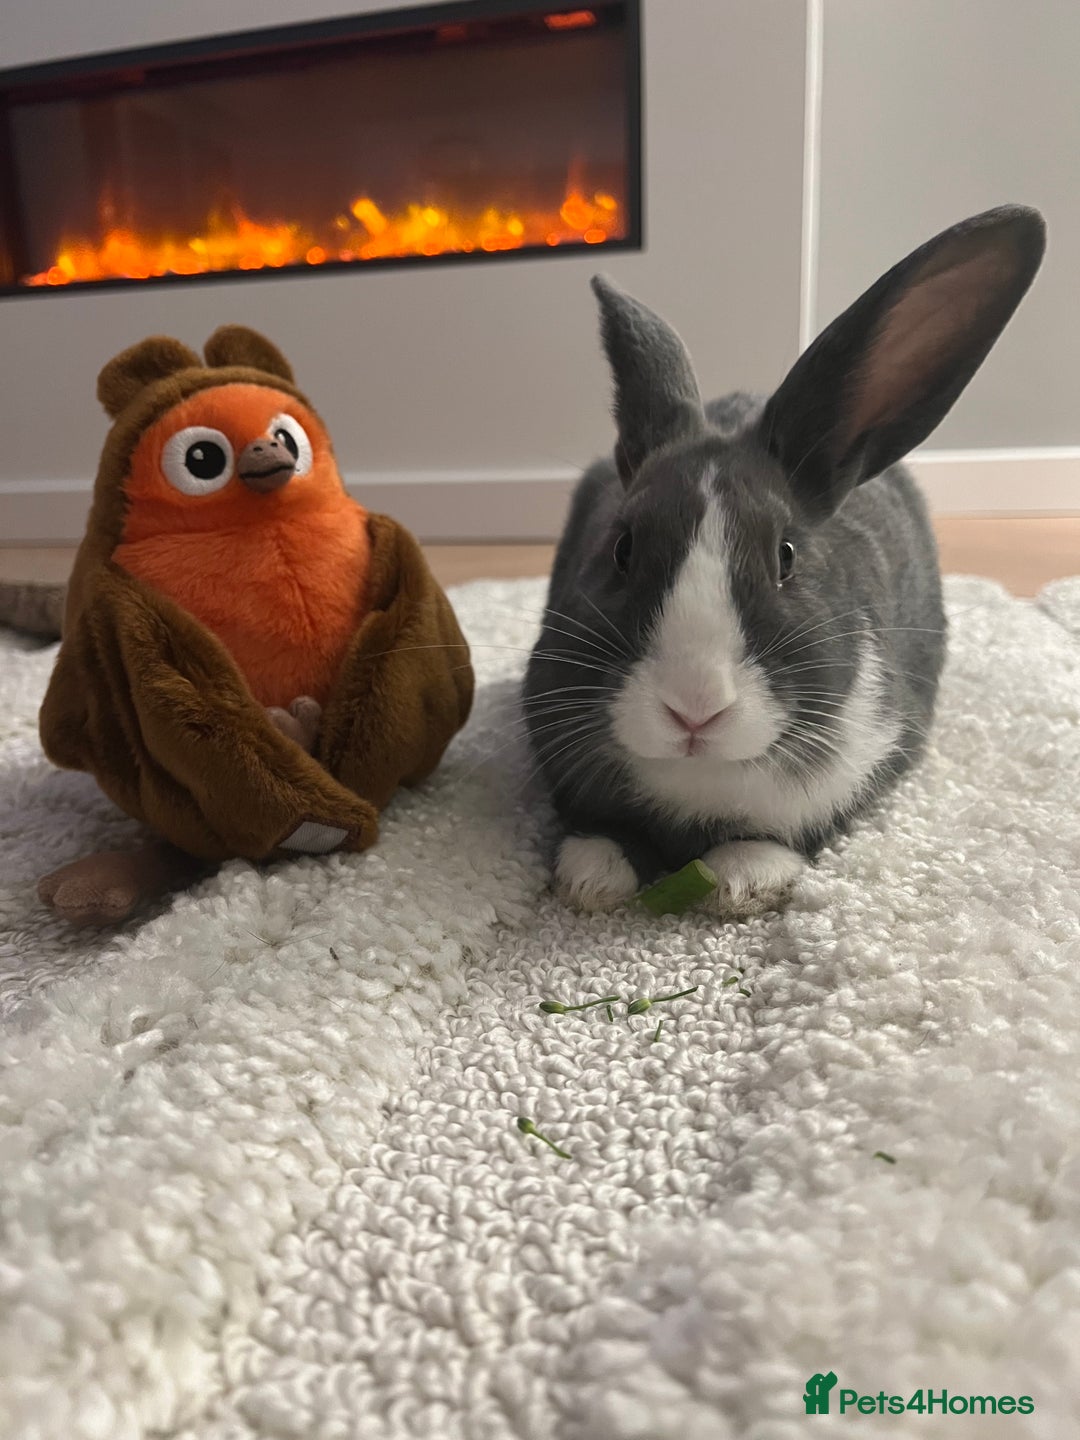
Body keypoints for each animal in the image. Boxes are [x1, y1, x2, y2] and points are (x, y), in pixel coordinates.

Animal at [524, 205, 1046, 915]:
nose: (694, 709)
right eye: (622, 547)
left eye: (787, 556)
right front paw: (593, 876)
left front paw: (744, 878)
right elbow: (595, 822)